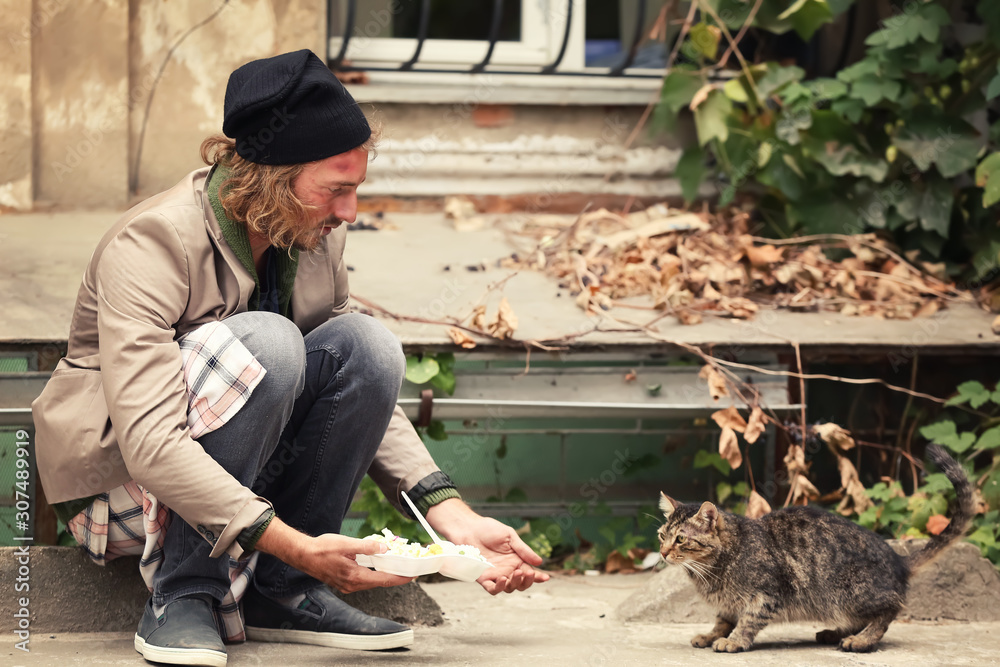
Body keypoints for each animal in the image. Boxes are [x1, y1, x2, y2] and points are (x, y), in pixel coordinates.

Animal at [660, 446, 972, 656]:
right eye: (662, 535)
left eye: (681, 539)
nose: (662, 553)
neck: (711, 571)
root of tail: (898, 560)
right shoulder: (729, 603)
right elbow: (722, 619)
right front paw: (710, 635)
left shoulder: (766, 594)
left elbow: (747, 621)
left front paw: (734, 640)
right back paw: (836, 633)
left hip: (852, 592)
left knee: (889, 610)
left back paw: (861, 640)